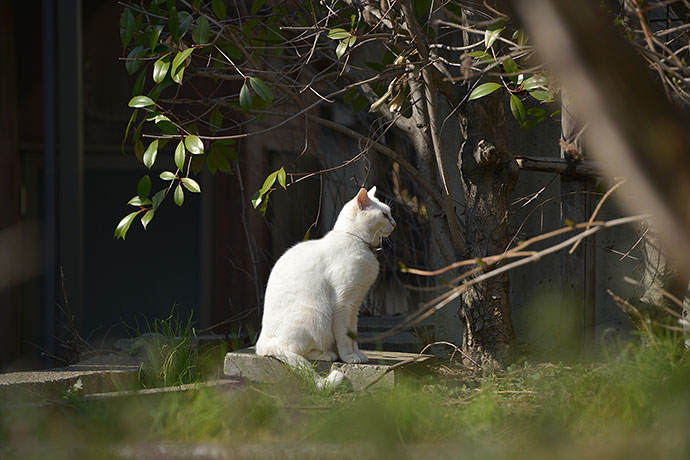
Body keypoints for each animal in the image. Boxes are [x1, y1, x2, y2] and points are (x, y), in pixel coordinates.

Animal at [254, 186, 396, 388]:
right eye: (384, 215)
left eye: (390, 213)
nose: (394, 223)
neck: (358, 242)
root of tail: (261, 344)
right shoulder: (343, 303)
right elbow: (344, 335)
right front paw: (349, 357)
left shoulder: (355, 304)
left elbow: (353, 333)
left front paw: (357, 353)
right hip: (316, 314)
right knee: (297, 351)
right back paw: (328, 354)